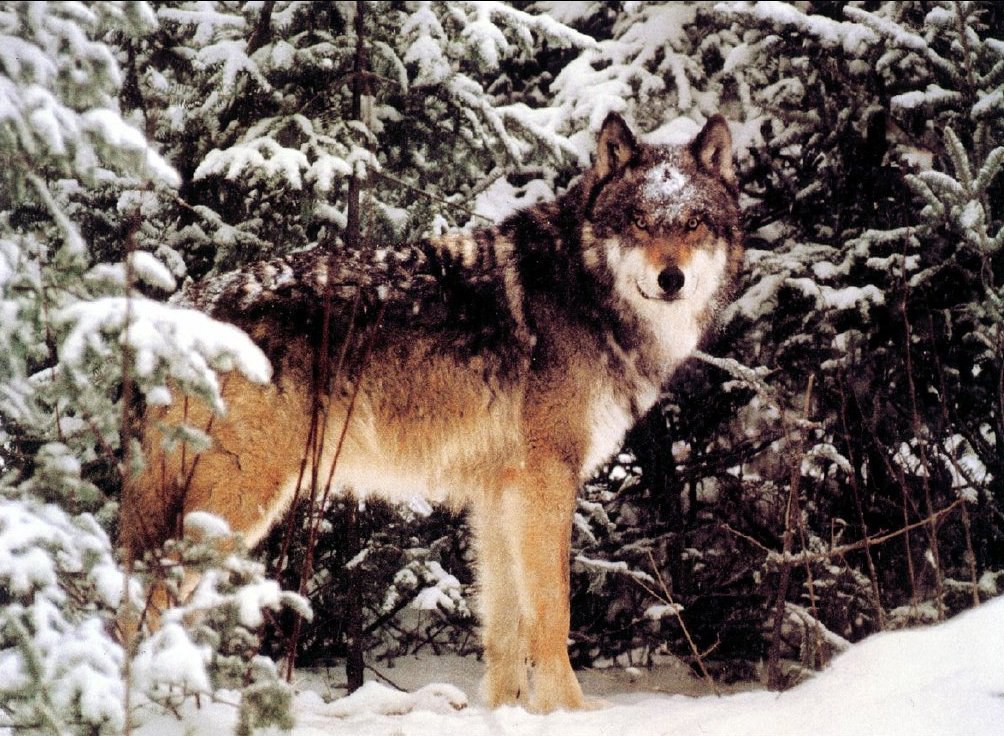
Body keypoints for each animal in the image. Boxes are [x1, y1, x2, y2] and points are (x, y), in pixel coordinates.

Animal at [120, 112, 743, 712]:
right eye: (640, 221)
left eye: (692, 224)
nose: (671, 279)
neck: (587, 293)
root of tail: (178, 307)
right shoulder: (546, 482)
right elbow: (553, 612)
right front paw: (571, 712)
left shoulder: (499, 494)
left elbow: (506, 626)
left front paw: (509, 713)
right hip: (237, 504)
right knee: (145, 598)